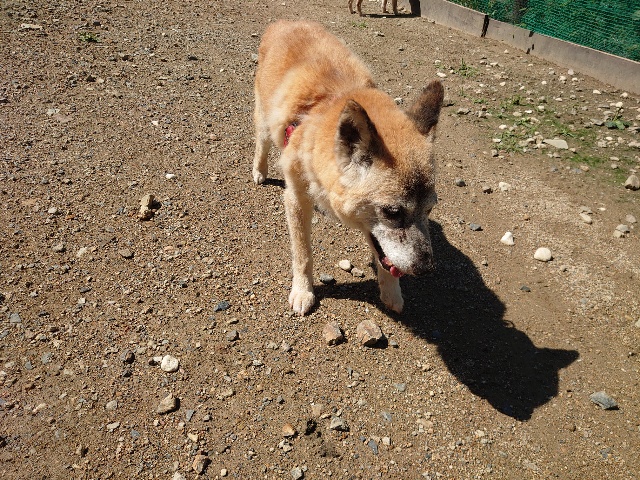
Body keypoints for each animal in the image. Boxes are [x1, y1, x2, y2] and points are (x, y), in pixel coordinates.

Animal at [252, 20, 443, 316]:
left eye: (430, 209)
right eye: (393, 212)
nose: (426, 269)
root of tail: (284, 22)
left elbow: (383, 256)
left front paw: (392, 292)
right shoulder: (295, 198)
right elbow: (303, 254)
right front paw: (303, 291)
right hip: (264, 117)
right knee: (261, 142)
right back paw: (259, 171)